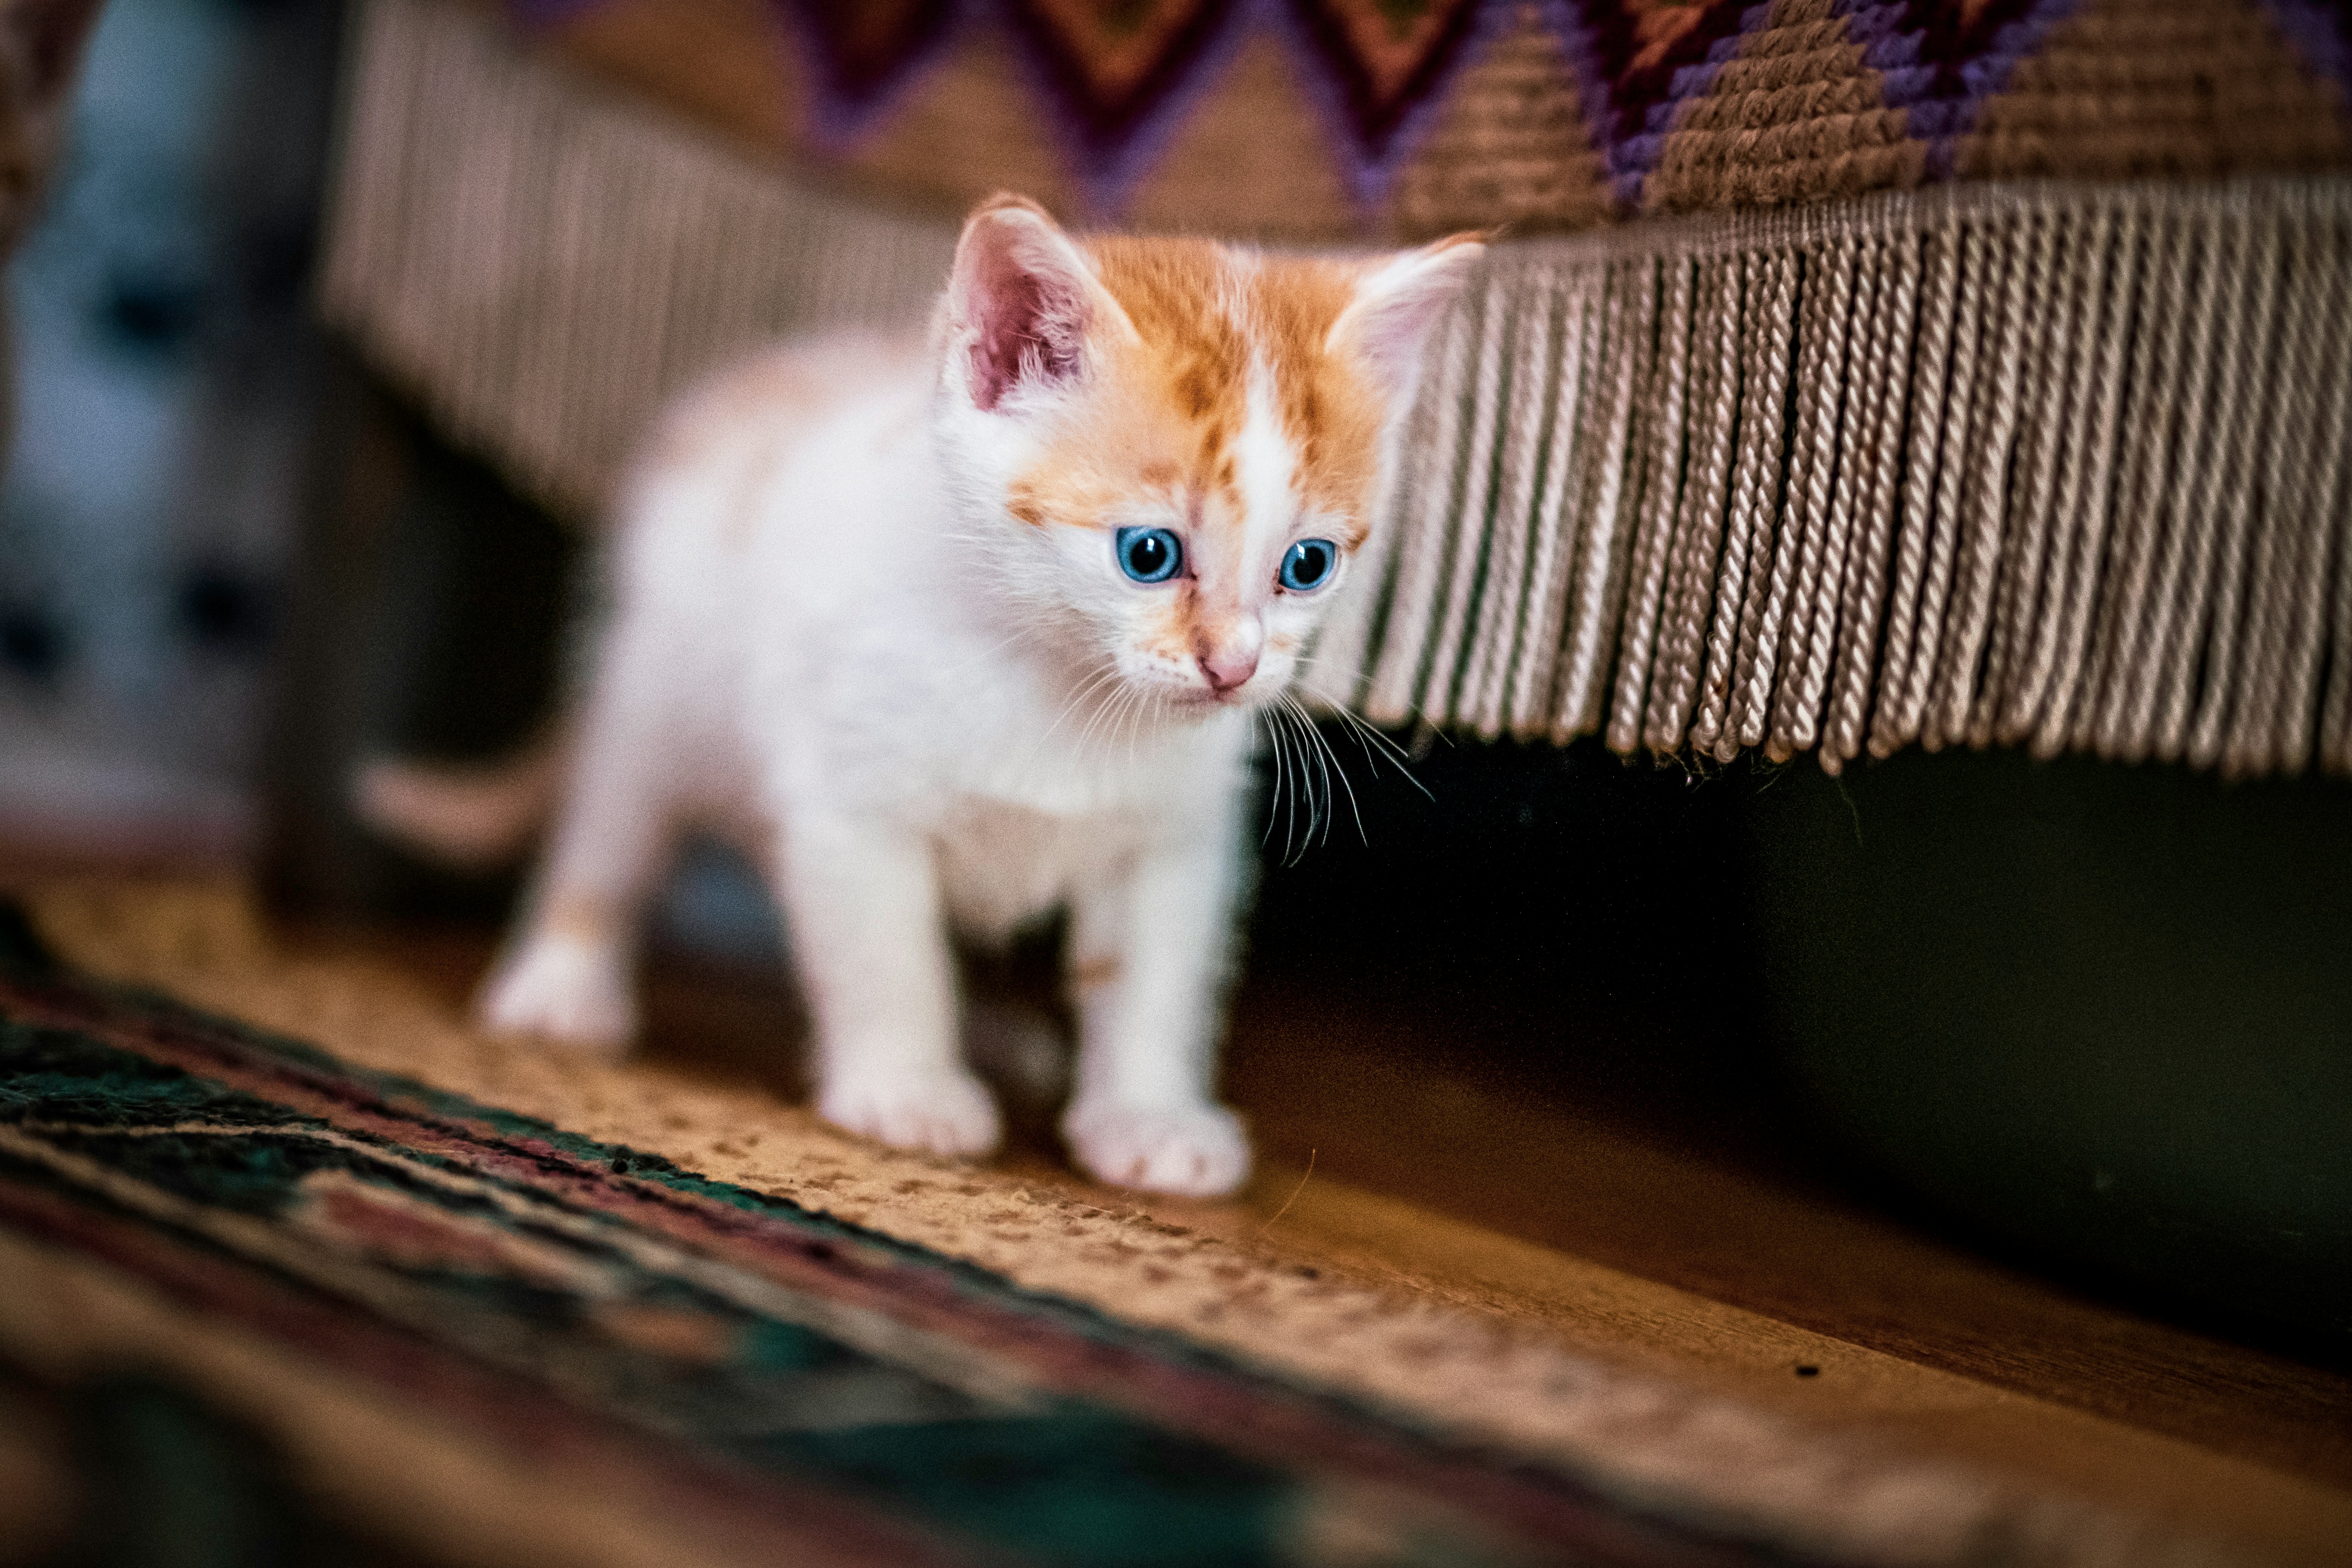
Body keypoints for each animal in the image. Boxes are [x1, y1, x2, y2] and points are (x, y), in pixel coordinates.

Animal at [479, 200, 1477, 1204]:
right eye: (1148, 553)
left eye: (1307, 565)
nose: (1234, 666)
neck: (1064, 686)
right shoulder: (852, 804)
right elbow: (889, 953)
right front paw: (907, 1091)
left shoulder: (1176, 837)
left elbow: (1152, 977)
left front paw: (1147, 1117)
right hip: (654, 690)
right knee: (611, 834)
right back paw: (563, 986)